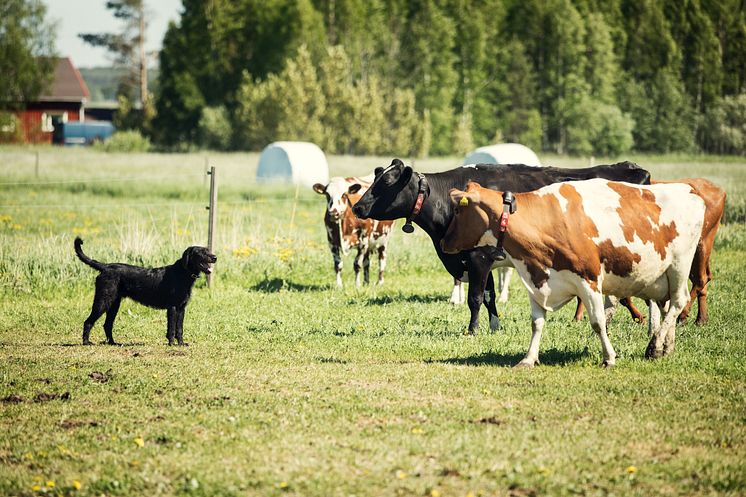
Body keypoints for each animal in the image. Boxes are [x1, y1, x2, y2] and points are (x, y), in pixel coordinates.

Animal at [74, 236, 215, 344]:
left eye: (208, 250)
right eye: (201, 252)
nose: (215, 257)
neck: (183, 273)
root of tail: (106, 267)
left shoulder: (181, 308)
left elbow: (179, 329)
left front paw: (181, 344)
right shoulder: (173, 308)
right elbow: (171, 329)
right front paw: (171, 344)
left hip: (114, 304)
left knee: (107, 325)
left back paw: (113, 343)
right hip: (102, 302)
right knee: (88, 322)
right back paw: (86, 342)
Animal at [352, 158, 648, 334]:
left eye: (386, 182)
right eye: (376, 178)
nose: (357, 207)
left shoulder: (477, 257)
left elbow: (474, 297)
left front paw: (472, 330)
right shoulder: (481, 260)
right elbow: (489, 296)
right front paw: (494, 326)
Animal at [442, 180, 704, 366]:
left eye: (458, 211)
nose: (444, 242)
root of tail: (689, 190)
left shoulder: (589, 280)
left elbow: (598, 322)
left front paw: (609, 357)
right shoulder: (536, 278)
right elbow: (537, 323)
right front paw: (528, 359)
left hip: (680, 264)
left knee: (679, 301)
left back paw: (655, 346)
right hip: (663, 277)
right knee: (666, 306)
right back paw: (666, 347)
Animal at [572, 176, 724, 324]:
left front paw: (640, 317)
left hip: (701, 246)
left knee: (700, 279)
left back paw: (683, 314)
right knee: (702, 280)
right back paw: (701, 318)